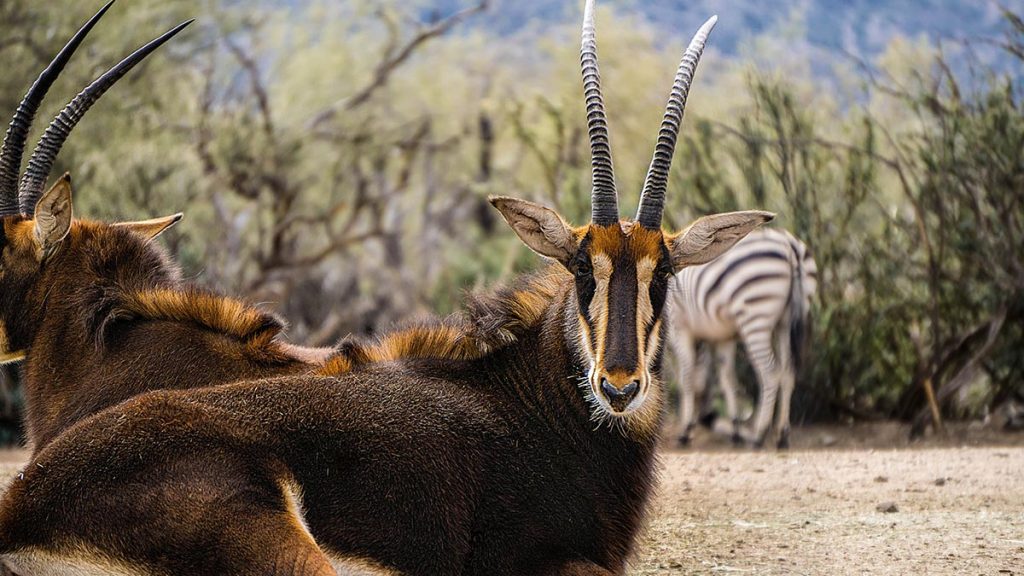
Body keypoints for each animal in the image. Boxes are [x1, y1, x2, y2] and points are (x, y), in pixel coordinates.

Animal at [668, 228, 817, 448]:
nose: (708, 418)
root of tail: (789, 245)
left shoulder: (679, 326)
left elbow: (687, 377)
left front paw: (685, 431)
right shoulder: (723, 336)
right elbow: (725, 378)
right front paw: (735, 429)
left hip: (755, 317)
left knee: (770, 372)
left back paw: (759, 434)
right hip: (788, 320)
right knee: (788, 371)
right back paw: (782, 435)